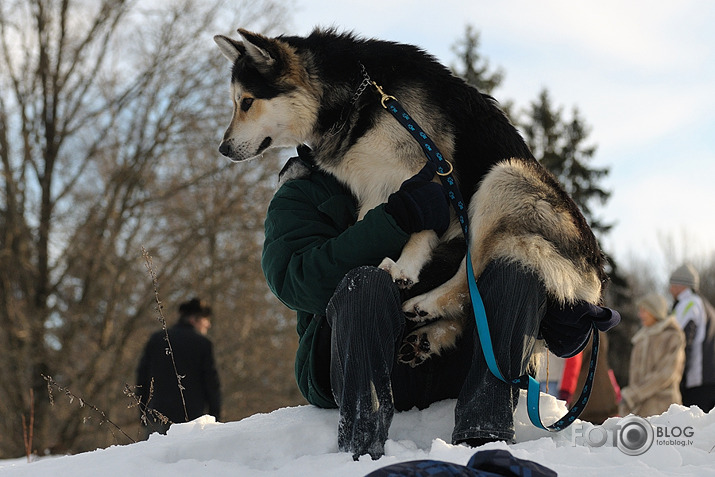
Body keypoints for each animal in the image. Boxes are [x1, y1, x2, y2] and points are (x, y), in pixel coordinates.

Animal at [215, 28, 608, 364]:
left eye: (246, 102)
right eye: (235, 102)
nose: (223, 149)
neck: (358, 97)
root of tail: (593, 270)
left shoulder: (426, 171)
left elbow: (420, 227)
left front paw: (405, 266)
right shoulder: (374, 189)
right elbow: (369, 225)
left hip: (505, 177)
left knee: (470, 274)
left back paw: (426, 304)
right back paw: (429, 334)